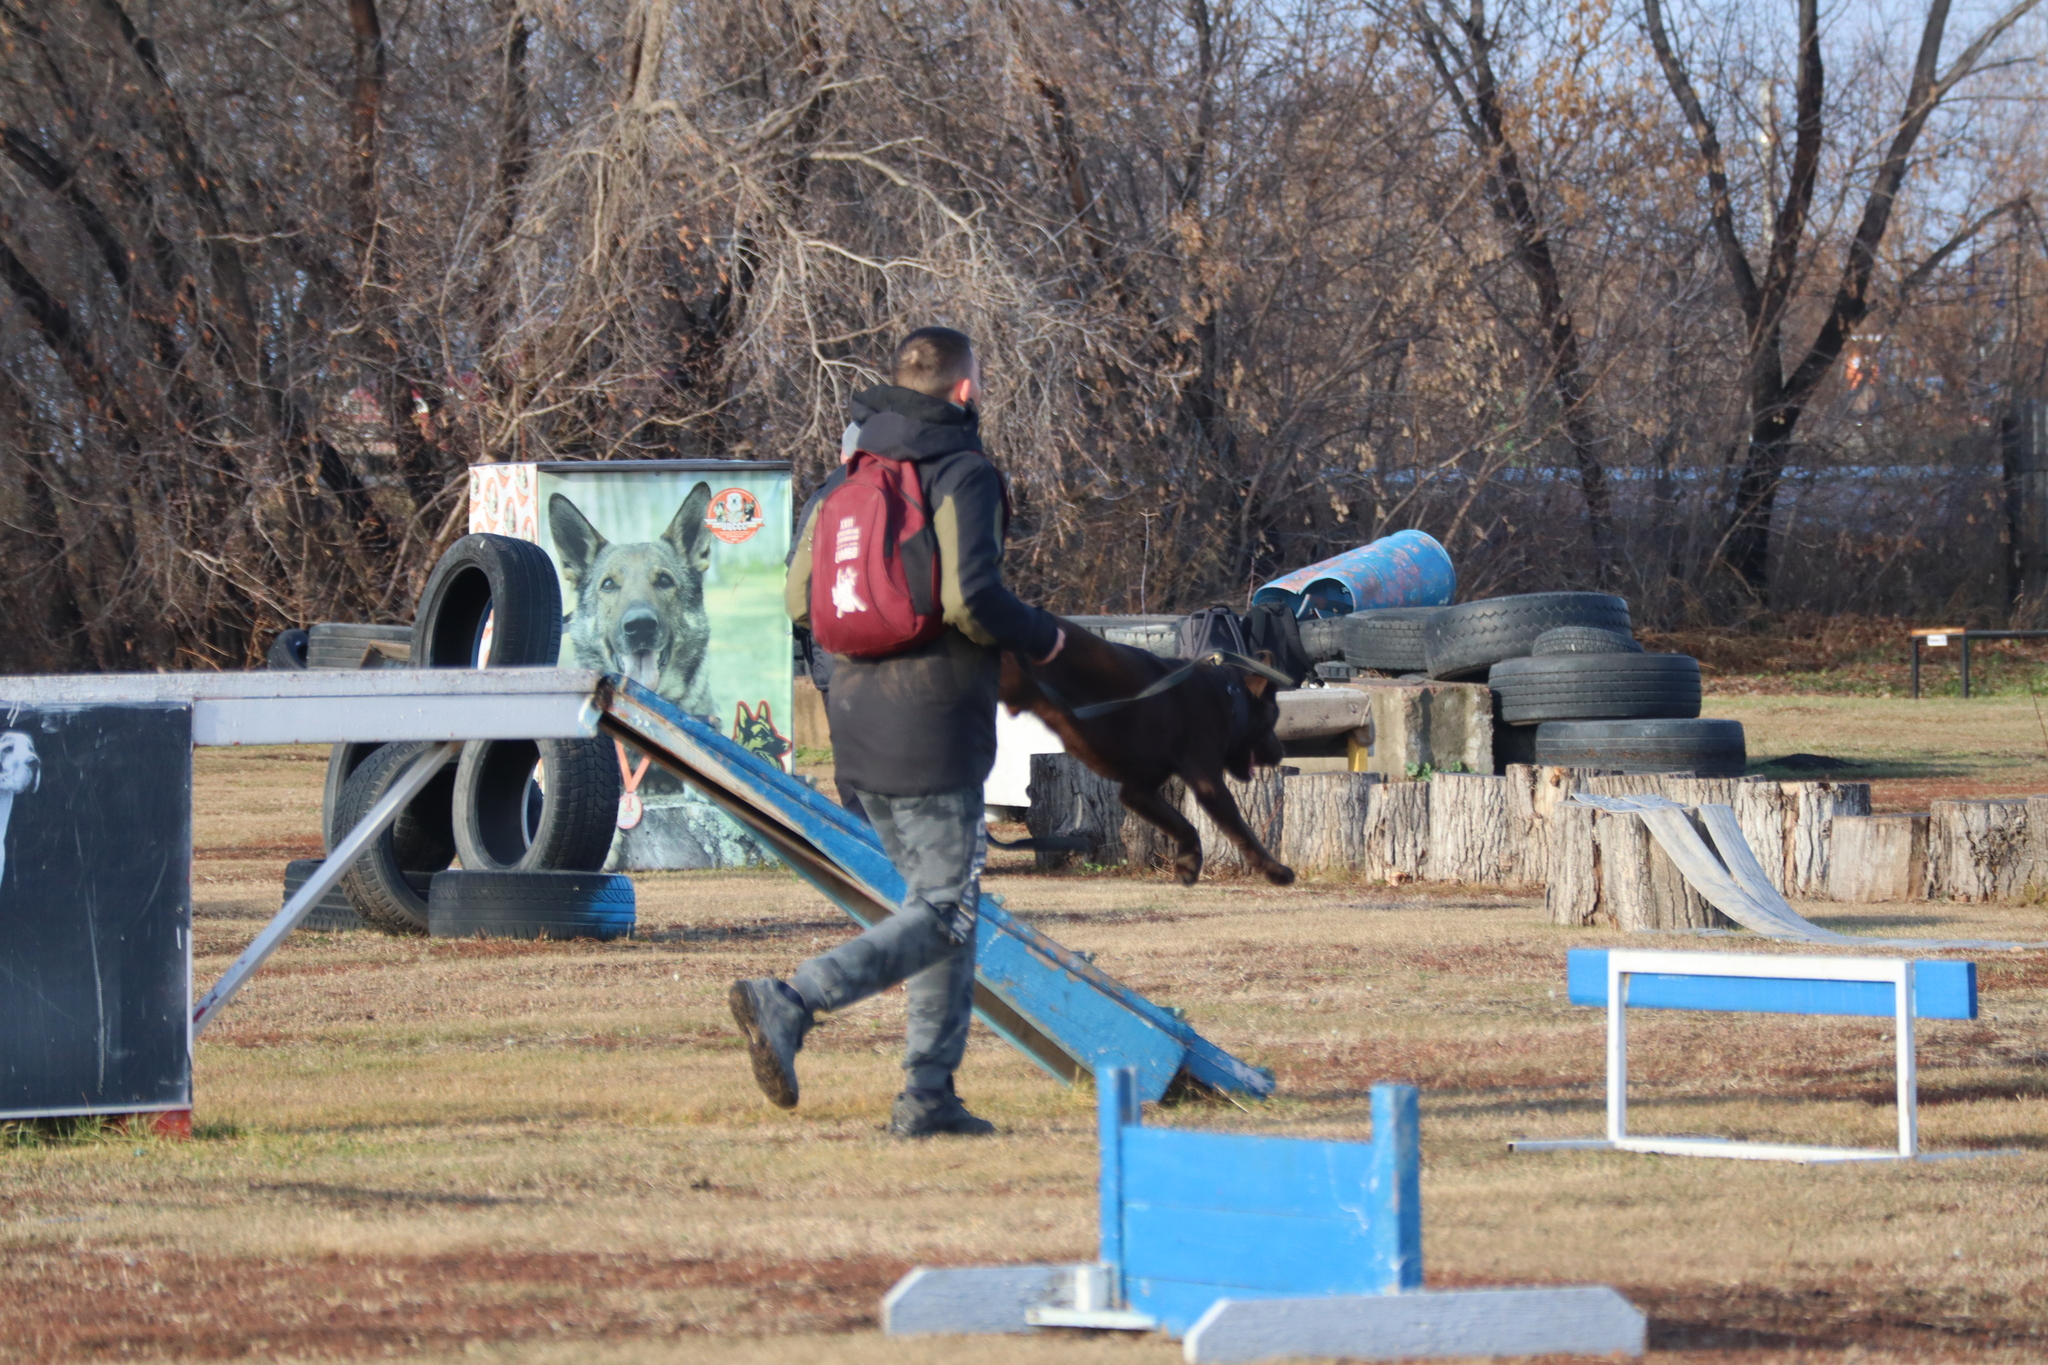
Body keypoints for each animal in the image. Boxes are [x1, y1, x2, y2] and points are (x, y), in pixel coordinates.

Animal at [995, 618, 1294, 888]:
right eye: (1273, 720)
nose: (1280, 751)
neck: (1230, 700)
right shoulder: (1210, 784)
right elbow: (1244, 834)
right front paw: (1275, 871)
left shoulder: (1138, 791)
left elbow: (1182, 825)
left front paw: (1188, 863)